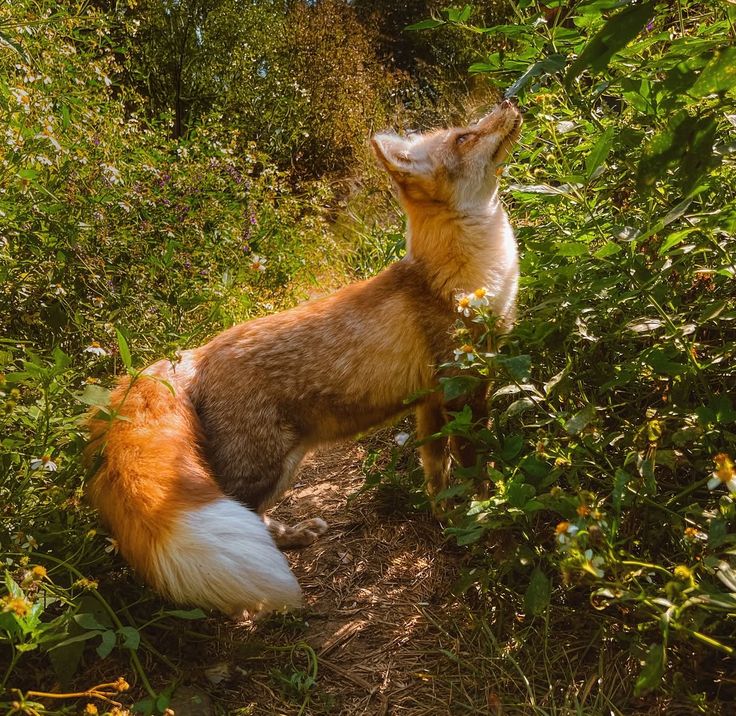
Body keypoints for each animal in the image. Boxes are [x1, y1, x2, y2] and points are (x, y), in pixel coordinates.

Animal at [85, 100, 522, 618]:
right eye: (463, 137)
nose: (509, 103)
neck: (458, 280)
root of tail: (191, 354)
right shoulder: (464, 391)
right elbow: (478, 474)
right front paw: (491, 520)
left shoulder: (430, 403)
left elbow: (437, 476)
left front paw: (446, 521)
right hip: (260, 470)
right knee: (245, 519)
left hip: (283, 467)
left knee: (258, 521)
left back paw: (292, 538)